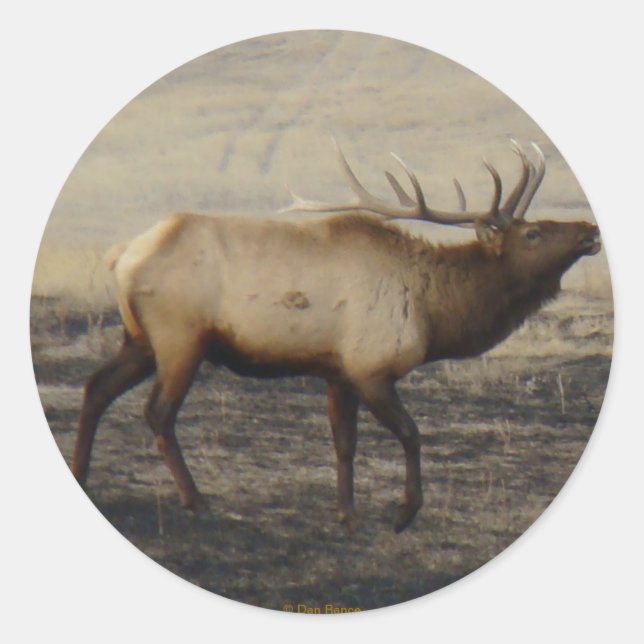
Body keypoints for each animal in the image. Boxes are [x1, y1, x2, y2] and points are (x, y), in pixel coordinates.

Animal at [71, 139, 601, 533]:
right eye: (533, 233)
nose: (589, 231)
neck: (434, 312)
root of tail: (123, 255)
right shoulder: (371, 367)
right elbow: (411, 433)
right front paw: (404, 512)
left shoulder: (337, 370)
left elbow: (344, 442)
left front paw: (347, 514)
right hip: (180, 337)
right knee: (158, 412)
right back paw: (196, 501)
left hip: (139, 339)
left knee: (95, 387)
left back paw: (82, 474)